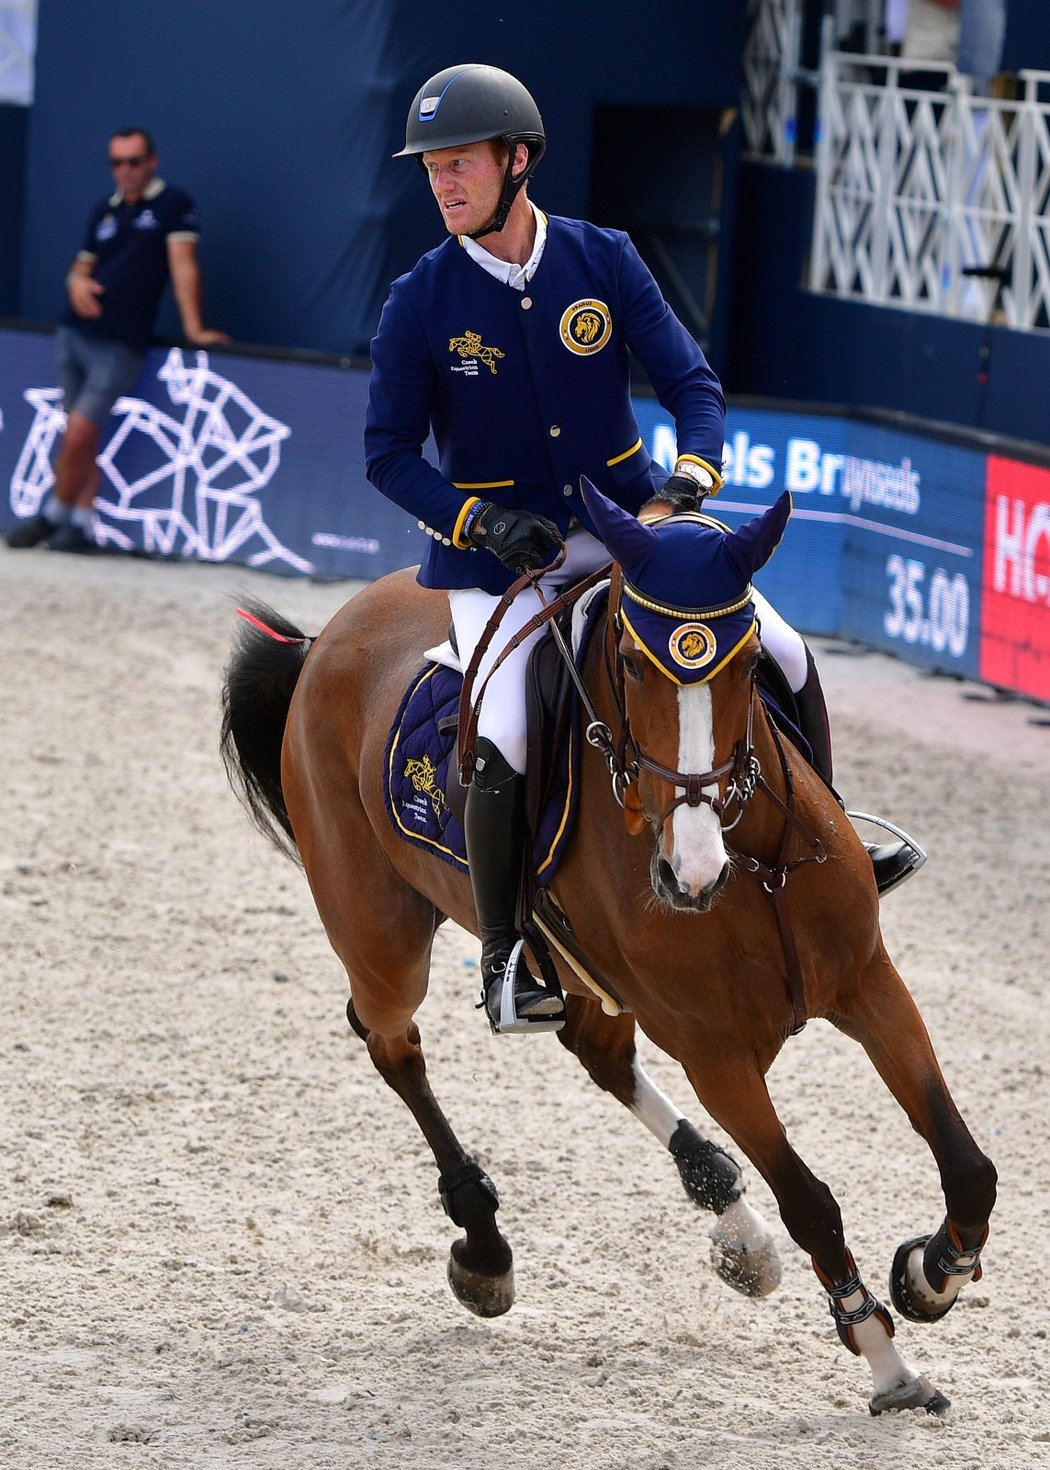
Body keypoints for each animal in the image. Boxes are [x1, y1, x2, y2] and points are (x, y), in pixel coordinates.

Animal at [219, 479, 988, 1411]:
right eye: (628, 664)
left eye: (746, 665)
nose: (688, 875)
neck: (749, 865)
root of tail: (325, 636)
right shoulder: (715, 1053)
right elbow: (812, 1202)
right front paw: (886, 1360)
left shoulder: (869, 983)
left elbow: (967, 1163)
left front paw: (931, 1275)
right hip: (381, 935)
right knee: (390, 1040)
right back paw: (484, 1246)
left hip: (586, 973)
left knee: (598, 1051)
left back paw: (733, 1222)